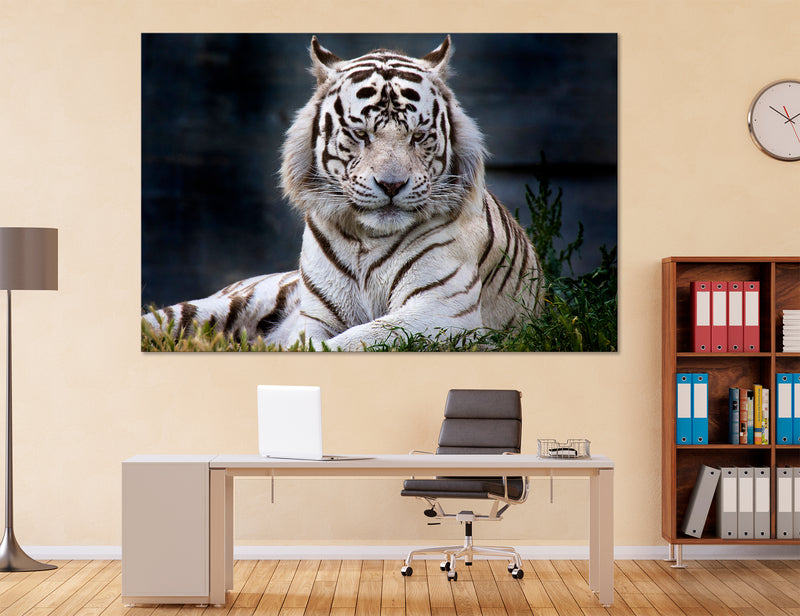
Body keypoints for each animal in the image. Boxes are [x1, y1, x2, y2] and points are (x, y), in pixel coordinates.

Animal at [143, 36, 542, 351]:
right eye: (361, 134)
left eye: (418, 136)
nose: (392, 185)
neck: (368, 238)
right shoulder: (315, 315)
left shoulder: (441, 309)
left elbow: (358, 340)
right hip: (211, 307)